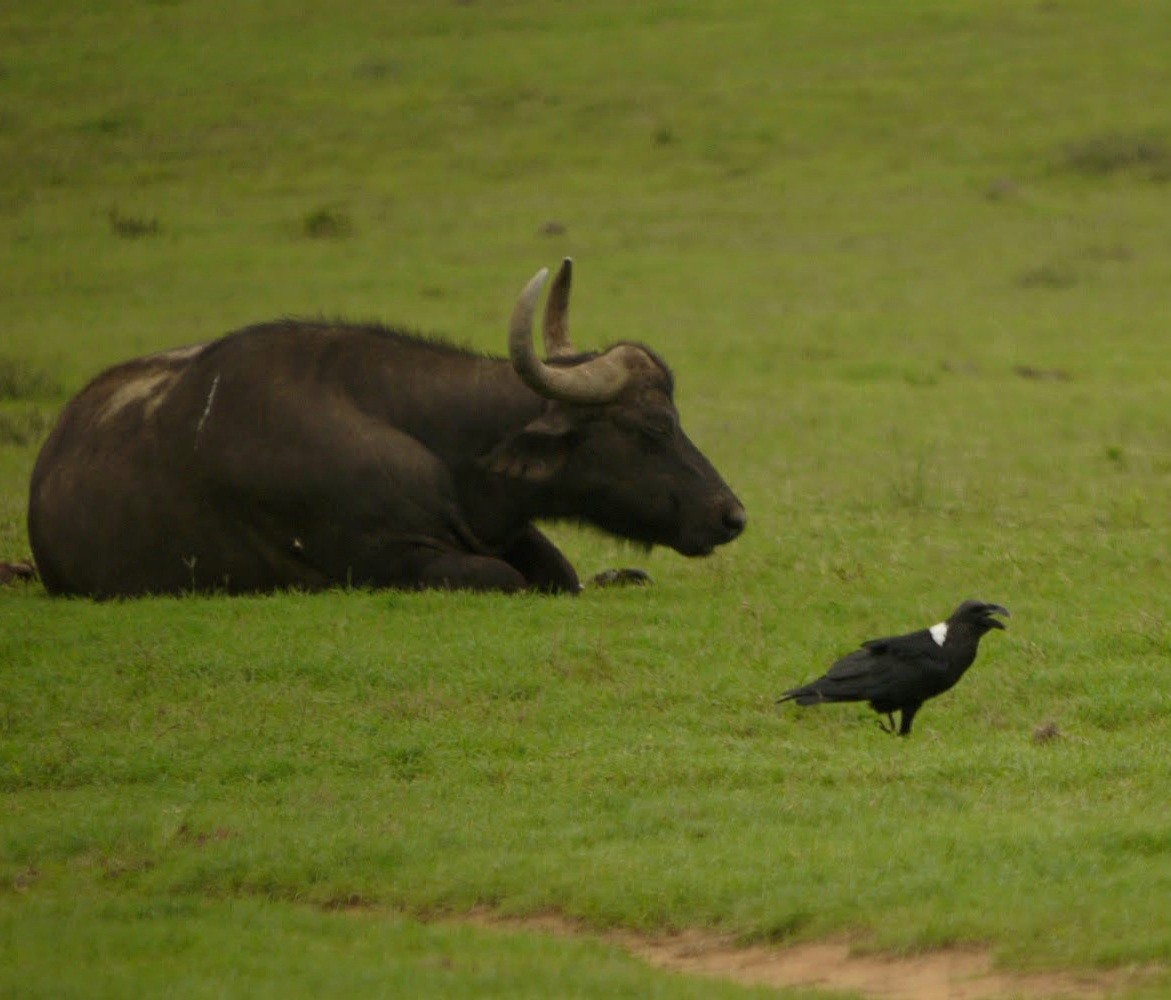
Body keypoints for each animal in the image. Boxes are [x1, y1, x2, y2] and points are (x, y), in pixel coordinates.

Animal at [29, 262, 740, 599]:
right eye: (652, 427)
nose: (731, 514)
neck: (440, 445)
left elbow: (560, 572)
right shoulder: (387, 560)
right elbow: (505, 578)